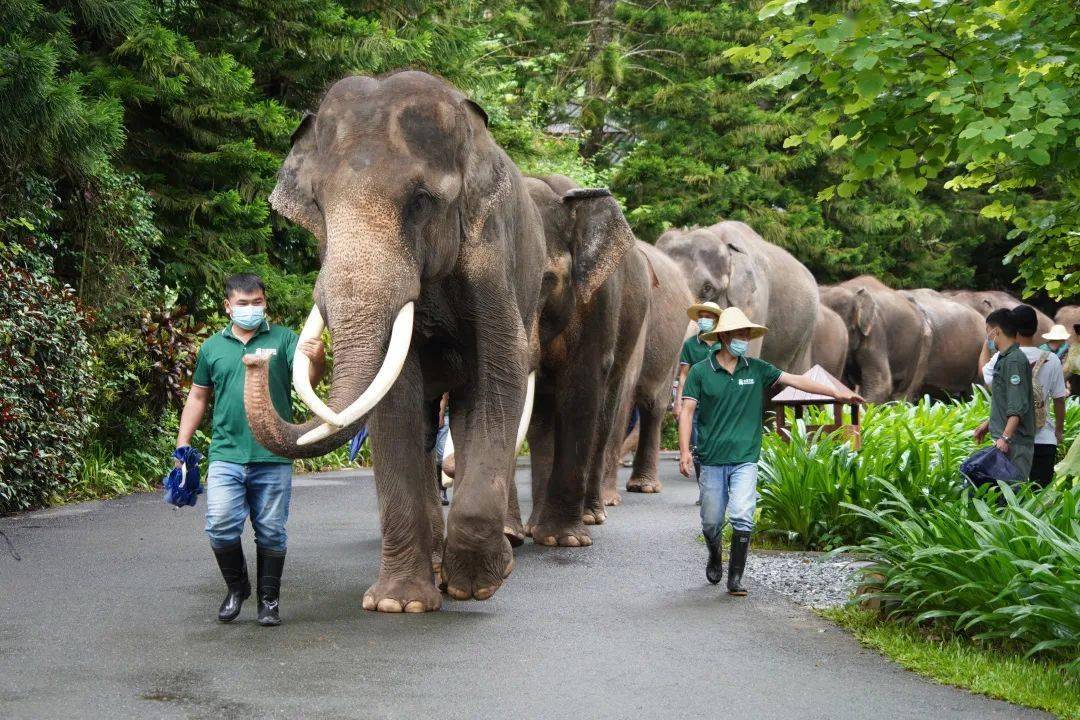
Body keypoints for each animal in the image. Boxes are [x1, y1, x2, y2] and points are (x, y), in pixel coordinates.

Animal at [240, 71, 557, 613]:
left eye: (421, 201)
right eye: (318, 206)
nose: (255, 360)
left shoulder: (491, 253)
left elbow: (501, 373)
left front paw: (477, 586)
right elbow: (395, 397)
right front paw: (398, 605)